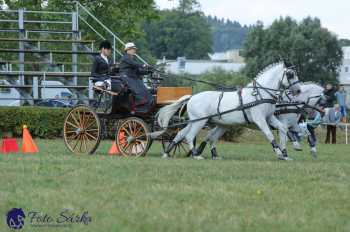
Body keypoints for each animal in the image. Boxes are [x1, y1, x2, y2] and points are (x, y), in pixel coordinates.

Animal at [155, 61, 300, 160]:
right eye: (290, 75)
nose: (298, 90)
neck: (259, 94)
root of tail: (192, 97)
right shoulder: (259, 119)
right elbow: (269, 134)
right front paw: (279, 152)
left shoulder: (270, 117)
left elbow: (283, 128)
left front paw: (285, 153)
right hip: (199, 122)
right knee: (190, 136)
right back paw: (196, 155)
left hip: (198, 122)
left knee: (181, 134)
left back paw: (167, 153)